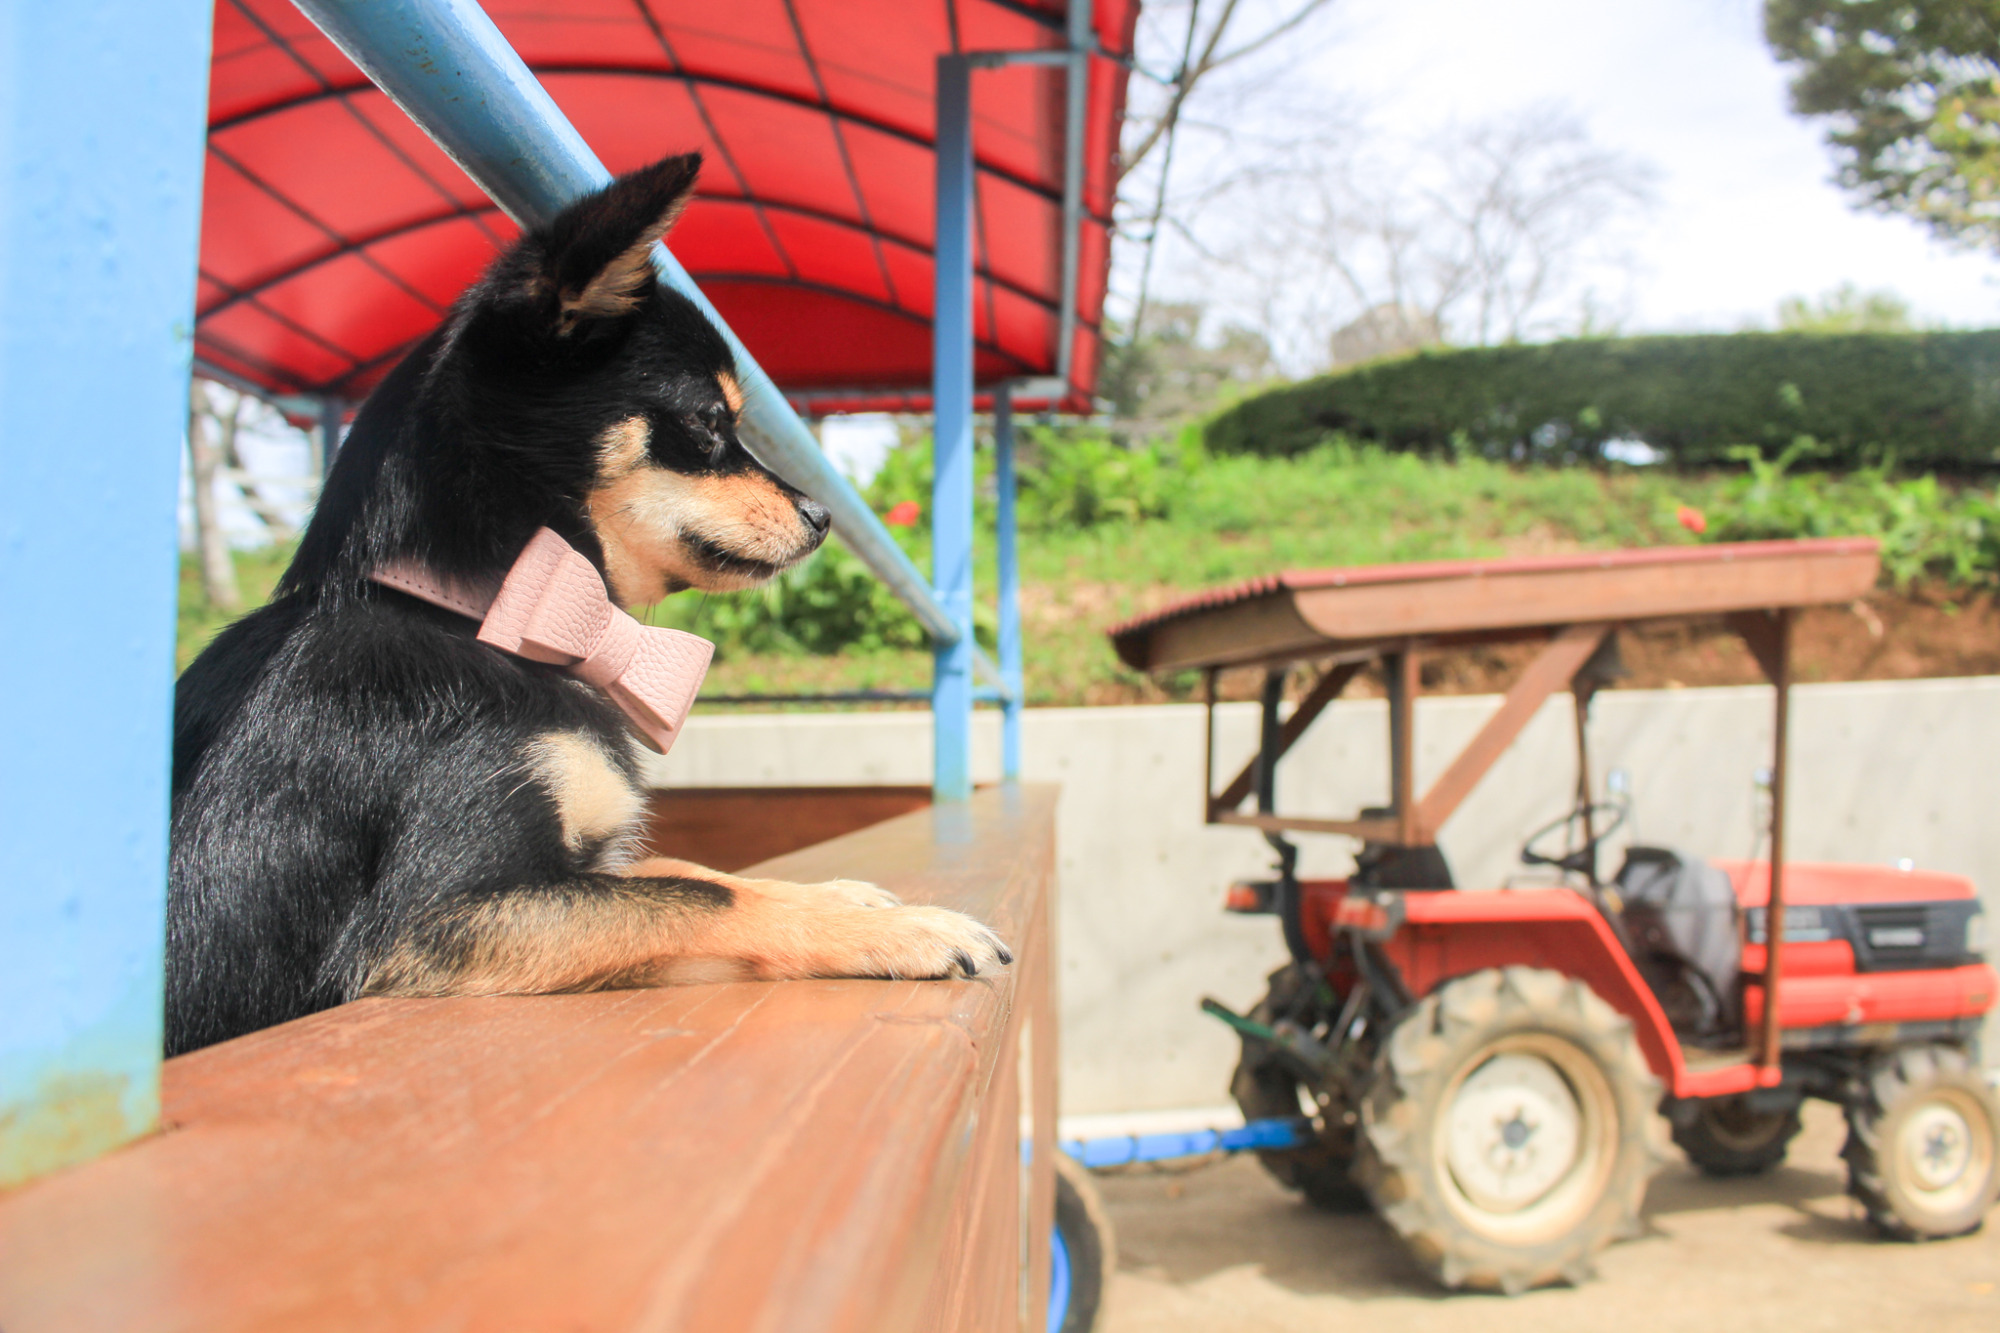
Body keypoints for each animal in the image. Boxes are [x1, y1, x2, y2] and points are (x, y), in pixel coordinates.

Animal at [170, 153, 1008, 1048]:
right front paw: (907, 927)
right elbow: (701, 892)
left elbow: (688, 867)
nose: (822, 515)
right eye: (708, 422)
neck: (480, 612)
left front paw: (845, 896)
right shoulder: (439, 916)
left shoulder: (581, 868)